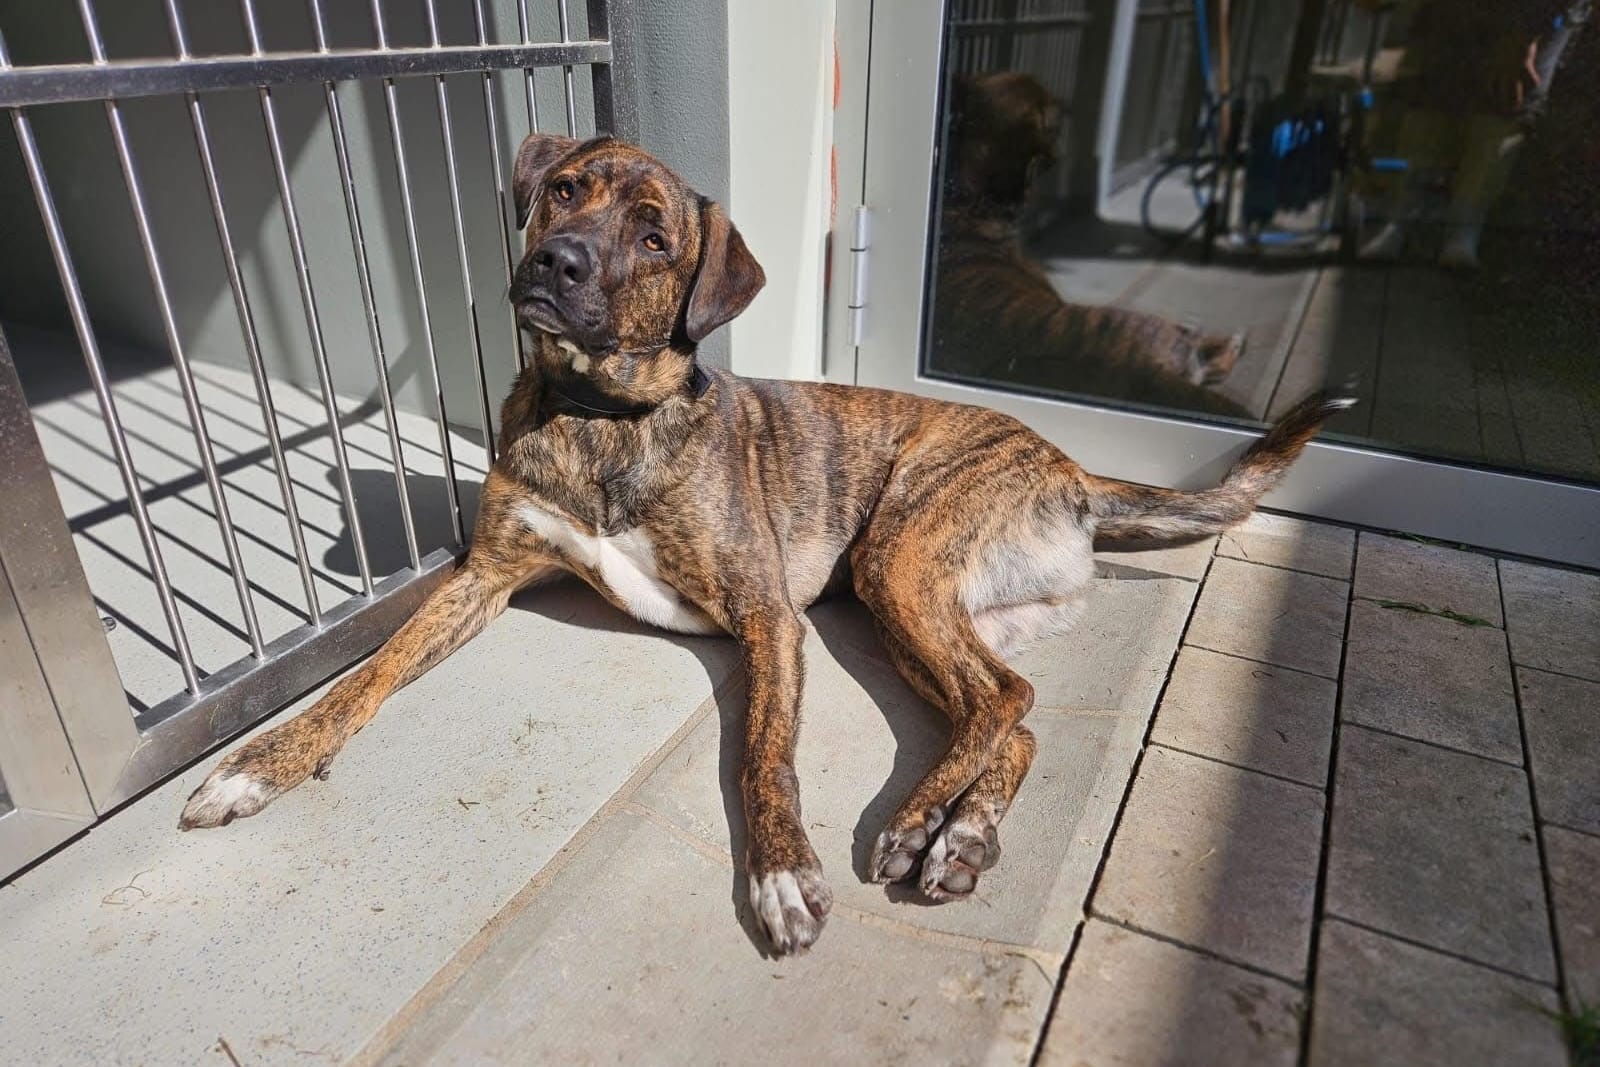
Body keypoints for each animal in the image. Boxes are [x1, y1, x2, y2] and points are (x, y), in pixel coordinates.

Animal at [178, 131, 1350, 953]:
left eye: (656, 238)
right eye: (565, 191)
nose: (556, 262)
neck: (603, 414)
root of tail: (1067, 463)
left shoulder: (767, 616)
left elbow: (760, 754)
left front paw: (781, 872)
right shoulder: (485, 575)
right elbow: (364, 677)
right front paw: (256, 765)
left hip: (896, 559)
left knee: (1002, 702)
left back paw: (917, 820)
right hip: (929, 606)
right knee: (1009, 715)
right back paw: (964, 832)